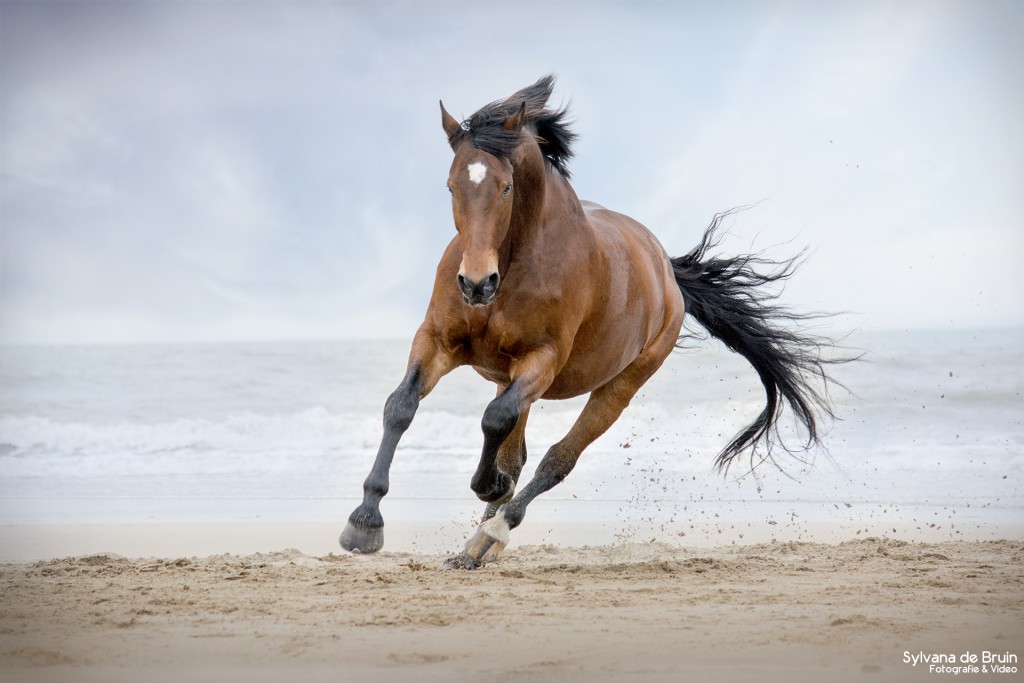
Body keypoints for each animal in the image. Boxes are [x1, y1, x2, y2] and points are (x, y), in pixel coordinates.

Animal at [339, 74, 843, 569]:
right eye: (451, 186)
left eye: (505, 187)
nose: (476, 284)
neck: (516, 263)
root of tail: (667, 271)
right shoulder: (438, 342)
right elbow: (401, 407)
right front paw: (364, 522)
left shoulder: (541, 360)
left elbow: (496, 423)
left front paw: (490, 486)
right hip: (508, 376)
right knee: (515, 448)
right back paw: (475, 545)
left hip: (618, 387)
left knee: (557, 458)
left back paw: (492, 532)